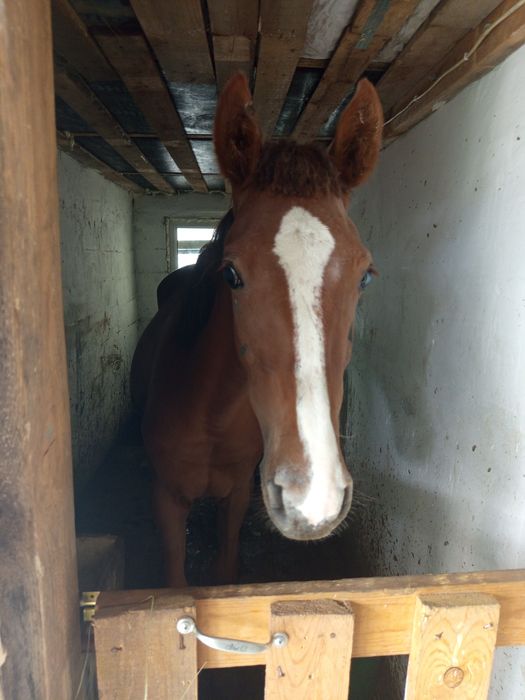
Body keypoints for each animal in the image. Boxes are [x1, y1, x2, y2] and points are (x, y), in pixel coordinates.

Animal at [130, 73, 383, 587]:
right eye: (231, 273)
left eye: (365, 276)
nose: (312, 497)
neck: (209, 415)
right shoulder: (166, 501)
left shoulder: (237, 500)